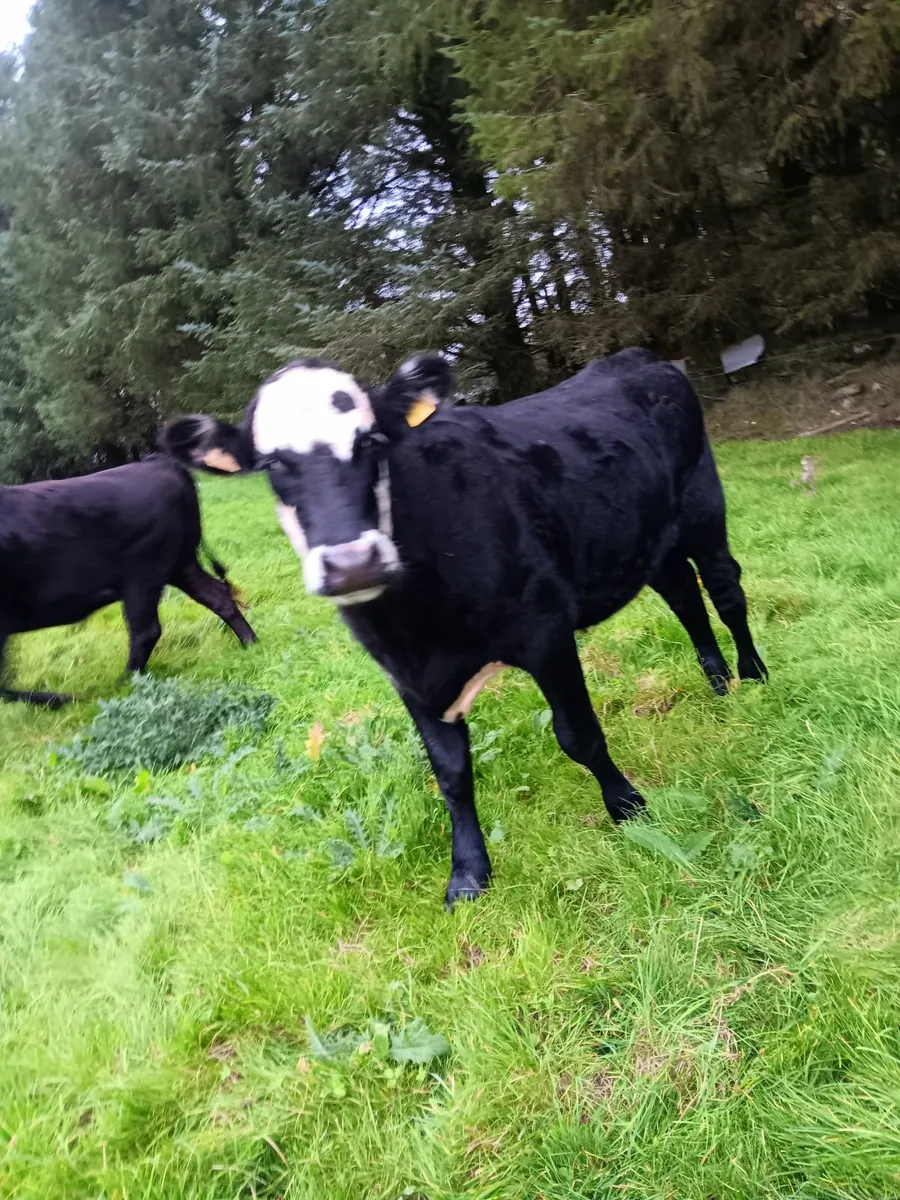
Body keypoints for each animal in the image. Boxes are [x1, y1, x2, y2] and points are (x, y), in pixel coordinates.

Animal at [0, 455, 257, 707]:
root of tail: (158, 462)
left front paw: (57, 699)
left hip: (142, 575)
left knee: (146, 631)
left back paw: (124, 684)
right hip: (179, 564)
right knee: (217, 596)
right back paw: (251, 643)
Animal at [160, 348, 767, 906]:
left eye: (373, 442)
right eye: (271, 465)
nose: (352, 563)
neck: (416, 623)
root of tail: (638, 358)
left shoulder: (545, 631)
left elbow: (579, 734)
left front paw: (627, 807)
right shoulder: (406, 675)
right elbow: (450, 772)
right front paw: (469, 872)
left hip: (703, 503)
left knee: (724, 590)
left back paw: (753, 675)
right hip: (647, 537)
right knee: (685, 596)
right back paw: (717, 679)